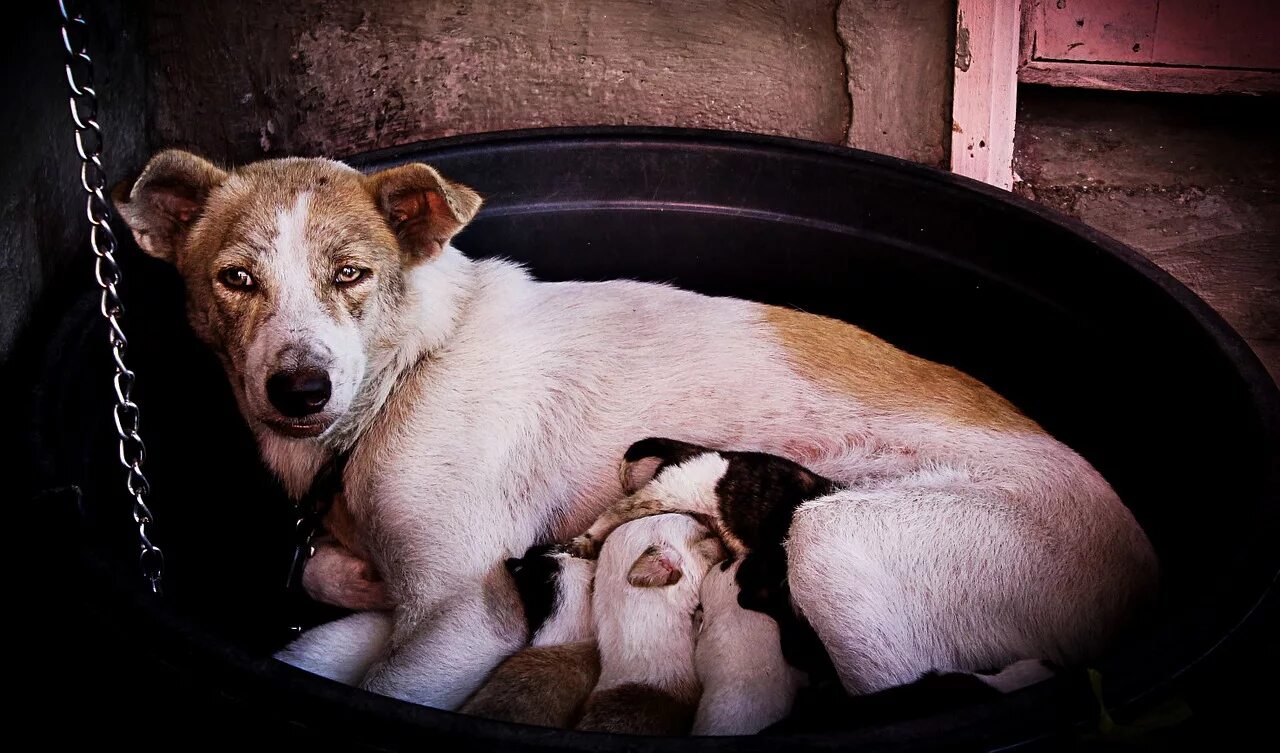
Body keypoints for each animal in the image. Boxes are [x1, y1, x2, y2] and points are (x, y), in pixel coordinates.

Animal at [115, 149, 1162, 706]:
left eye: (350, 274)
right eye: (235, 278)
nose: (299, 389)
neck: (411, 367)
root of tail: (1141, 565)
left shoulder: (464, 611)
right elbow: (332, 575)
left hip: (842, 544)